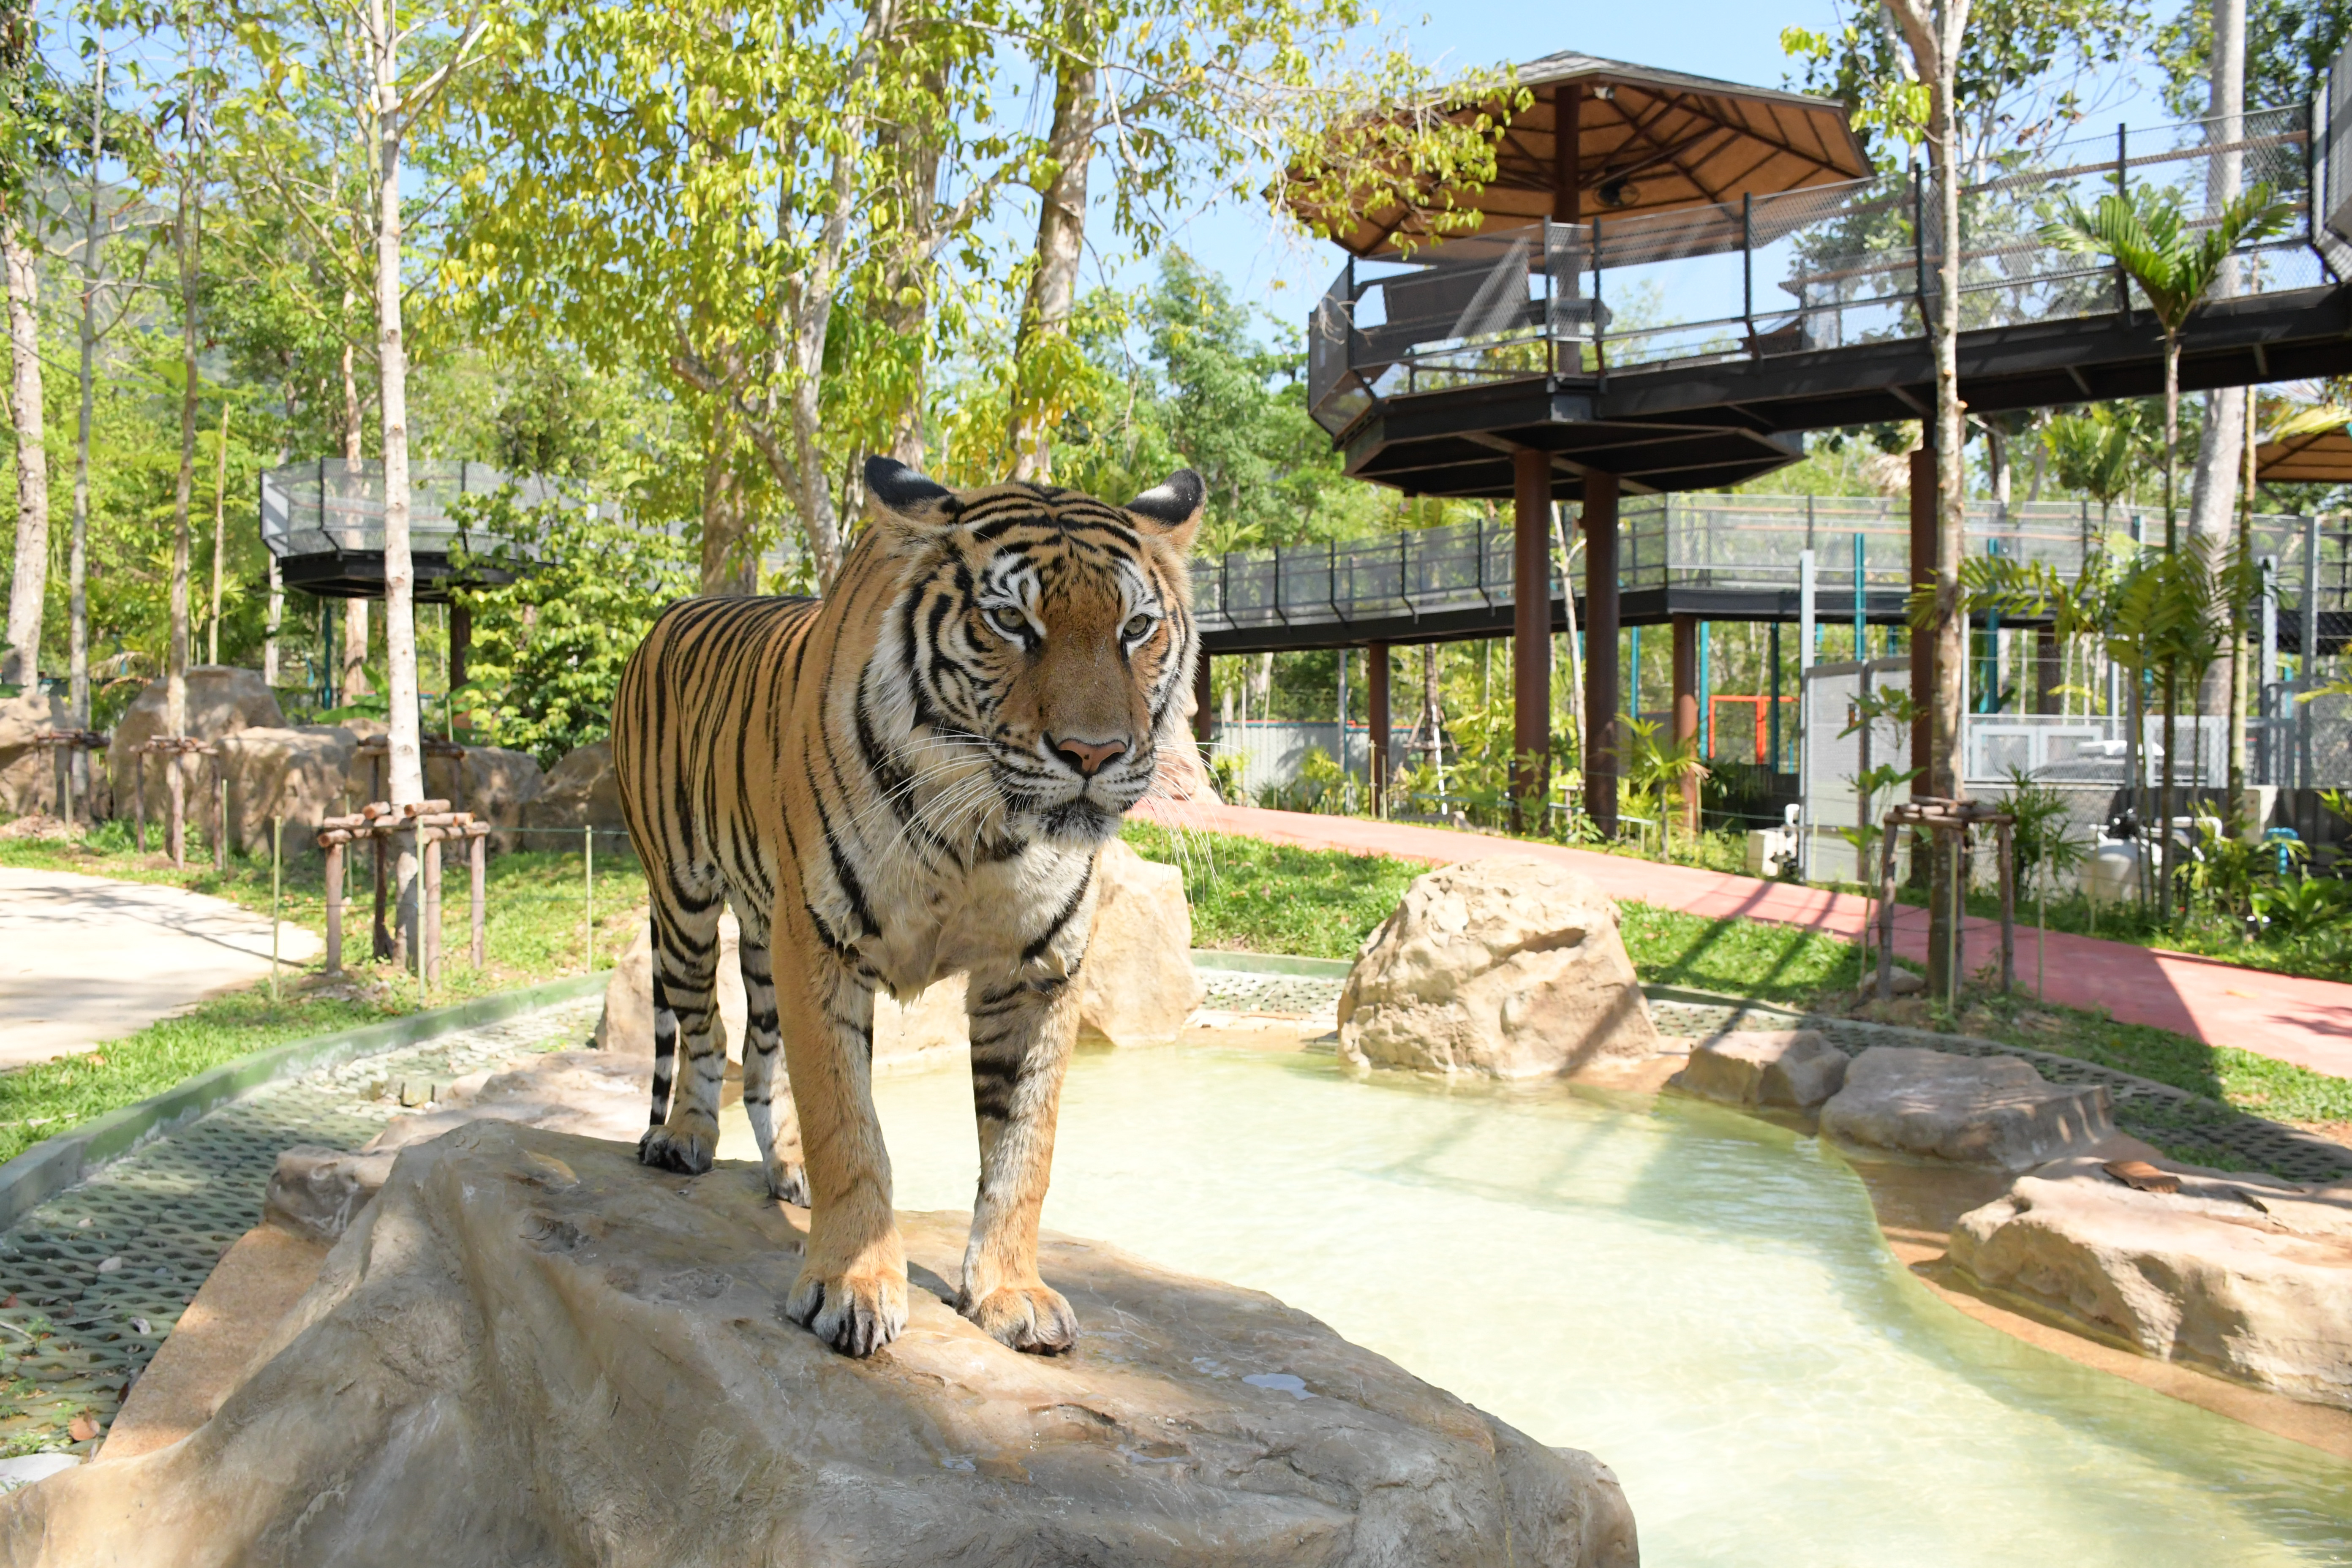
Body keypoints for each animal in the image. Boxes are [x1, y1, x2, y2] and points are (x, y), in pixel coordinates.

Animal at [608, 456, 1203, 1359]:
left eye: (1135, 628)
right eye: (1009, 620)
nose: (1093, 752)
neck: (982, 836)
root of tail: (674, 609)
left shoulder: (1037, 972)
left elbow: (1023, 1151)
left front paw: (1010, 1292)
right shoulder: (820, 942)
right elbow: (847, 1125)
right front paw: (849, 1286)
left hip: (762, 931)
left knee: (760, 1051)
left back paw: (784, 1169)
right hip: (684, 903)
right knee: (705, 1031)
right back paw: (685, 1139)